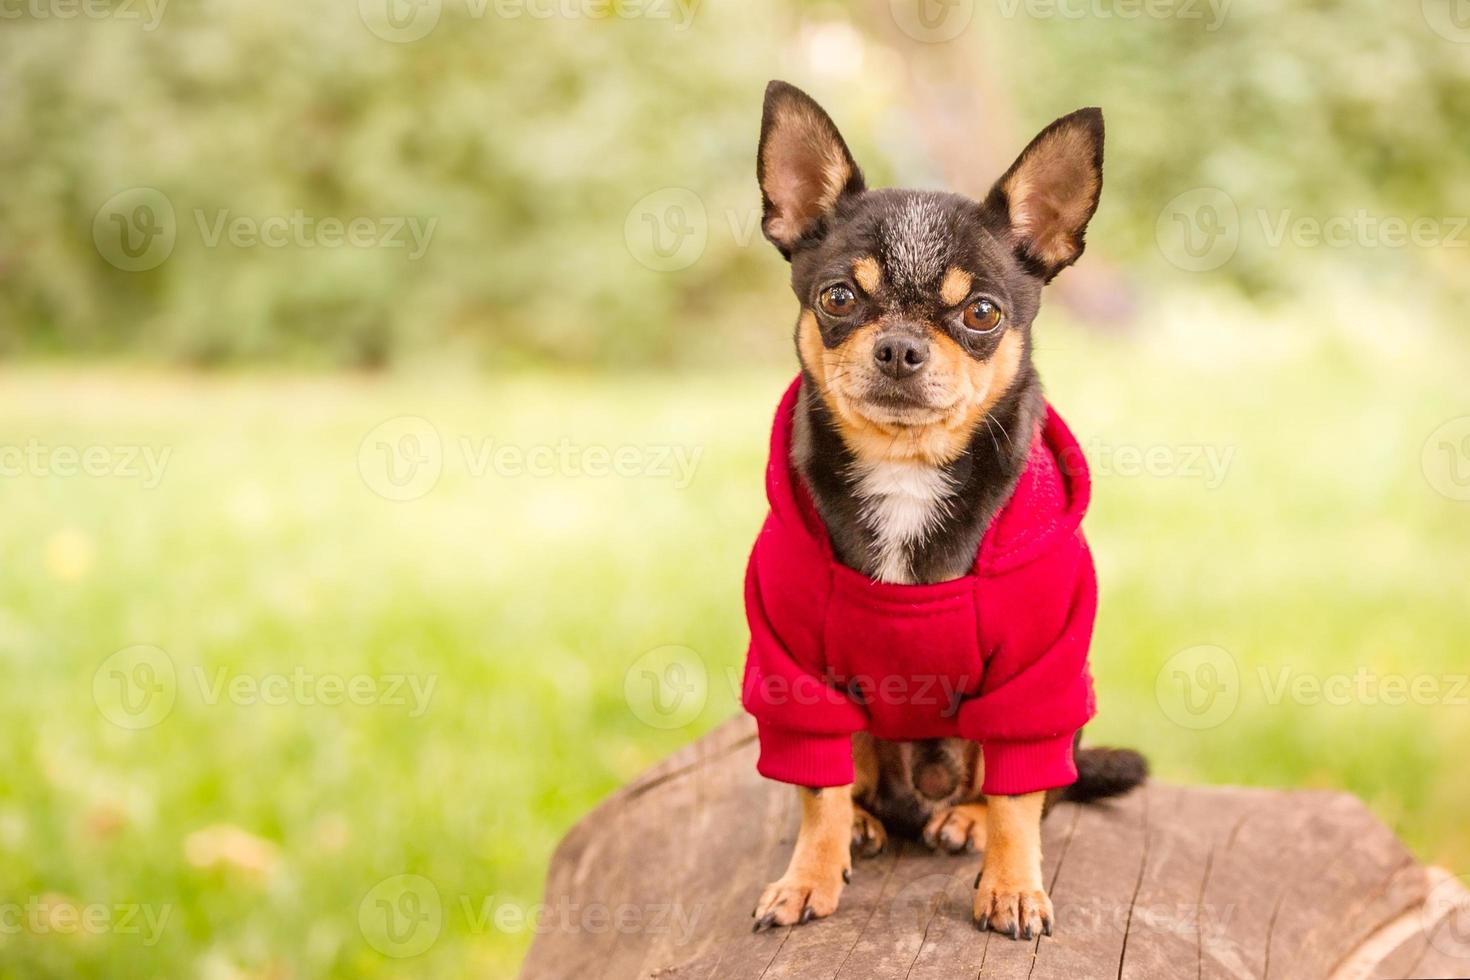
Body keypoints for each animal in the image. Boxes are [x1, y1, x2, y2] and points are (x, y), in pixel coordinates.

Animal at [746, 82, 1146, 940]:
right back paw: (867, 822)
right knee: (856, 777)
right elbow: (816, 792)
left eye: (983, 314)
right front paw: (808, 875)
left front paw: (1014, 886)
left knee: (1023, 784)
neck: (905, 471)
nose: (899, 347)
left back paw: (965, 820)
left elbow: (1022, 799)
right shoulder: (796, 676)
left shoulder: (1037, 677)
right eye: (837, 297)